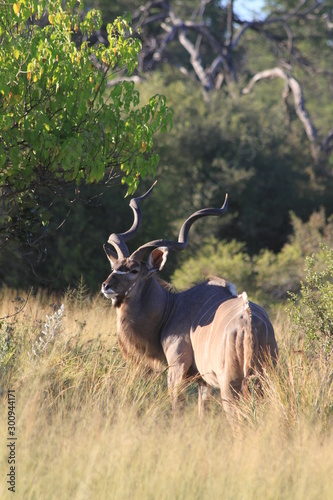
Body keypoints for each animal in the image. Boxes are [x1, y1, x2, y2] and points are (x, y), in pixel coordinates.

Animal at [102, 183, 278, 418]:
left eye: (133, 270)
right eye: (114, 267)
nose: (106, 286)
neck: (172, 307)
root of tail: (249, 324)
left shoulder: (177, 368)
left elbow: (177, 407)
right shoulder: (203, 381)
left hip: (231, 386)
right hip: (266, 379)